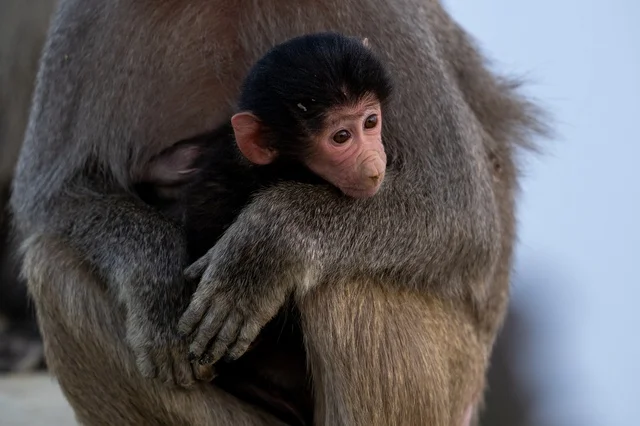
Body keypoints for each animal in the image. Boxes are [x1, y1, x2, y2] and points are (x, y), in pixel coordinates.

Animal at [9, 1, 547, 425]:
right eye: (340, 136)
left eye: (369, 124)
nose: (367, 160)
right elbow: (57, 197)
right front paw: (155, 281)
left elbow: (460, 206)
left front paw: (267, 247)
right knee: (53, 262)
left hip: (454, 376)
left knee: (342, 282)